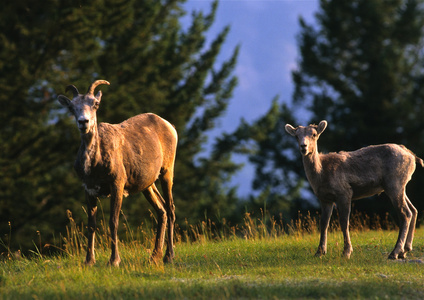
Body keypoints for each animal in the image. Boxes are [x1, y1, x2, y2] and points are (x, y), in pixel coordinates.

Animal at [58, 80, 177, 268]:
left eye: (95, 104)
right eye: (71, 107)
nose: (83, 122)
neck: (94, 164)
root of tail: (170, 127)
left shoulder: (117, 184)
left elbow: (113, 222)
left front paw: (114, 261)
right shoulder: (89, 189)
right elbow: (91, 224)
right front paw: (89, 261)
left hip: (167, 172)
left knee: (171, 209)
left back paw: (168, 257)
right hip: (148, 185)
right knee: (162, 210)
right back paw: (154, 257)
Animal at [284, 120, 420, 258]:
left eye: (314, 134)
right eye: (297, 136)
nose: (303, 146)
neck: (321, 174)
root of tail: (412, 156)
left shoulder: (344, 193)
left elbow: (344, 222)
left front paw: (346, 252)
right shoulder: (325, 199)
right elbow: (324, 223)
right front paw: (320, 252)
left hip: (394, 184)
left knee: (405, 213)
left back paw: (395, 252)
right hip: (400, 186)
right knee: (413, 210)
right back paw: (405, 250)